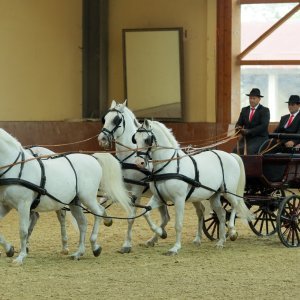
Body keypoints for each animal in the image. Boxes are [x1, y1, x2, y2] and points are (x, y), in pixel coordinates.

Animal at [0, 127, 132, 264]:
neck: (16, 168)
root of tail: (93, 158)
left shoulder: (24, 205)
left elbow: (23, 231)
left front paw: (20, 257)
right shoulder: (5, 205)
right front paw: (9, 249)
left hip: (87, 197)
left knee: (99, 212)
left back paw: (95, 246)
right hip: (74, 202)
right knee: (82, 222)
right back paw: (79, 252)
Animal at [98, 99, 170, 252]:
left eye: (116, 119)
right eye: (104, 119)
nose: (102, 139)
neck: (130, 158)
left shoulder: (137, 190)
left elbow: (131, 216)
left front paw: (126, 245)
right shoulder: (121, 187)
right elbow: (102, 202)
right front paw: (108, 220)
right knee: (166, 218)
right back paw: (155, 238)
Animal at [134, 119, 253, 255]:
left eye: (147, 139)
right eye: (135, 139)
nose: (138, 162)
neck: (170, 165)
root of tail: (230, 155)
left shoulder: (179, 199)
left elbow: (178, 224)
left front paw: (175, 248)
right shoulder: (158, 197)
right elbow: (145, 213)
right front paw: (161, 233)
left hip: (228, 192)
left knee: (236, 205)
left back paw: (232, 231)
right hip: (214, 195)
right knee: (222, 214)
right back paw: (221, 241)